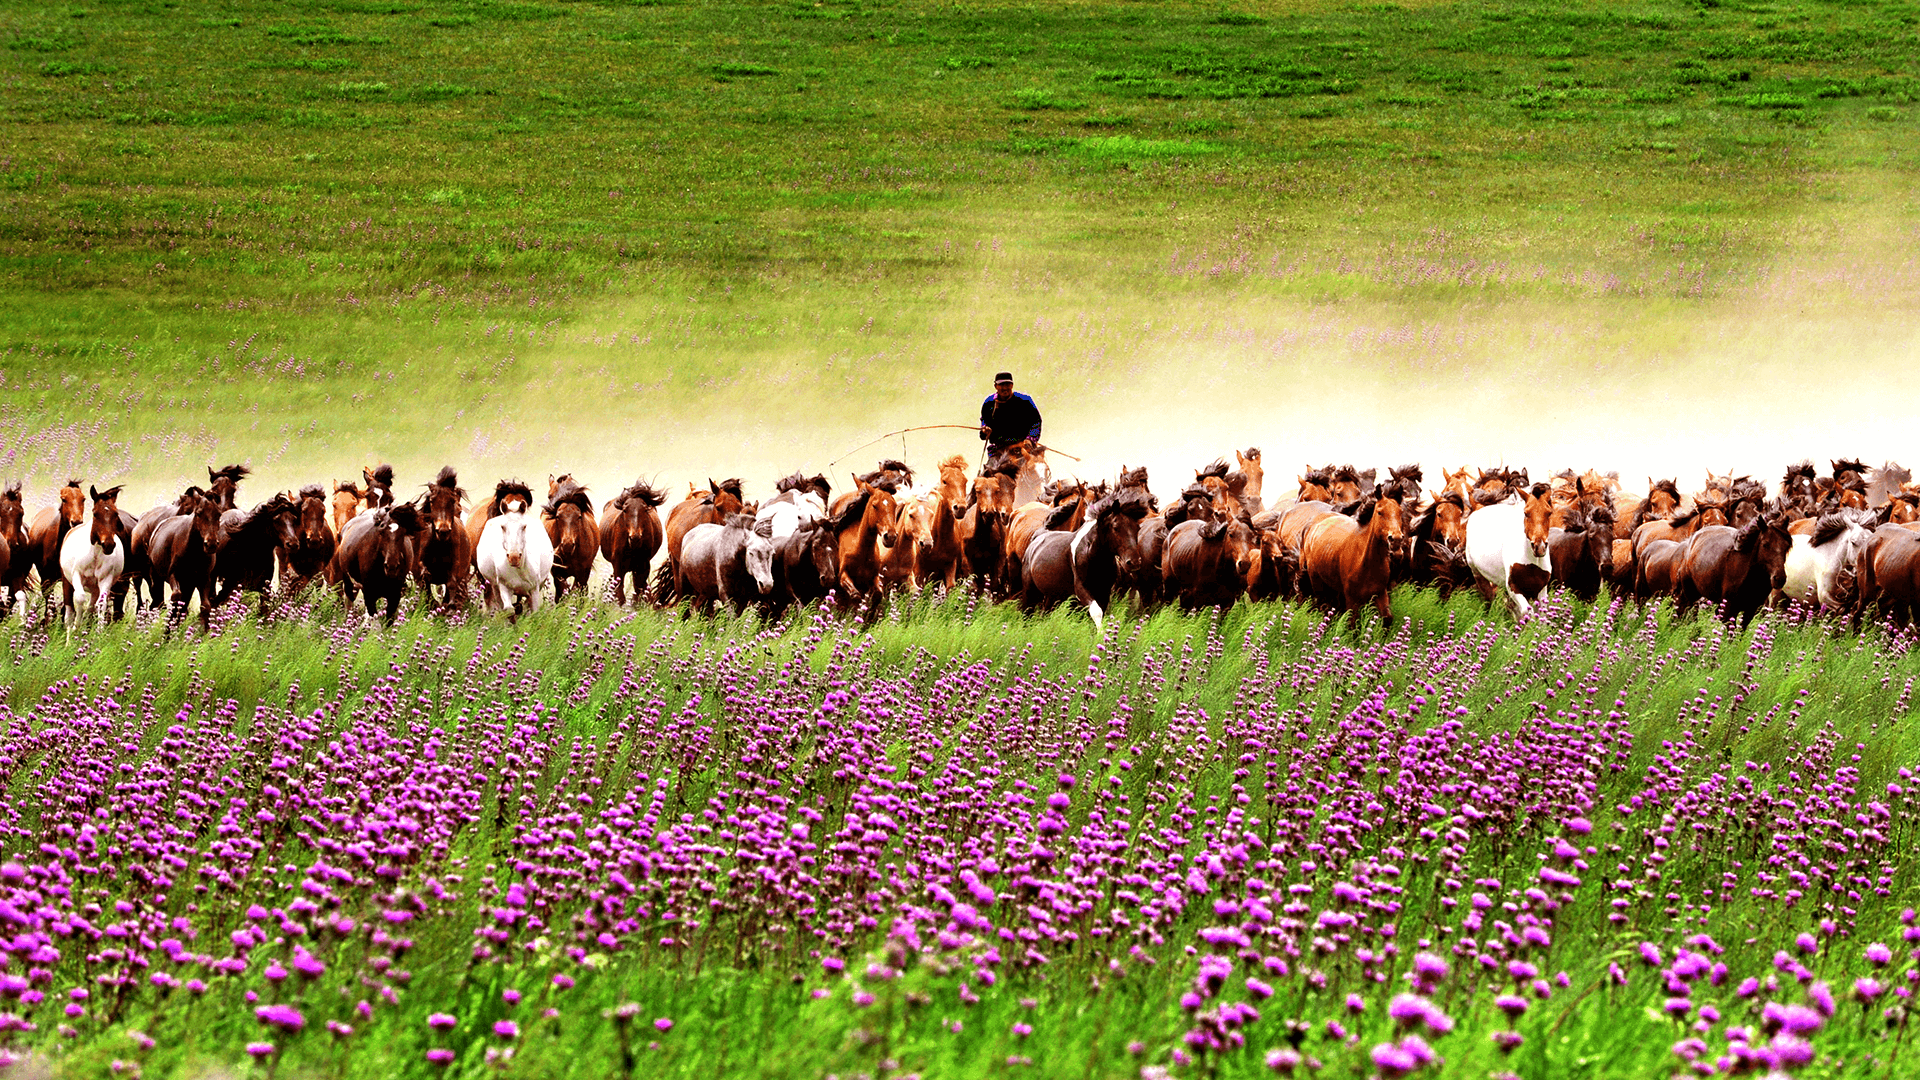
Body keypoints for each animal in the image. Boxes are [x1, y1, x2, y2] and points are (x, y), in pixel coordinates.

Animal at [145, 486, 224, 626]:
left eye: (218, 514)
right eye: (199, 513)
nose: (211, 544)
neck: (193, 552)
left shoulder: (203, 579)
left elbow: (205, 606)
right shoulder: (173, 574)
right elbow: (176, 598)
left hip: (189, 584)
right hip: (157, 577)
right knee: (159, 601)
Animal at [410, 466, 470, 611]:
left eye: (452, 501)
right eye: (432, 501)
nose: (443, 531)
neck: (439, 544)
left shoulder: (455, 565)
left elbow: (451, 583)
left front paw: (449, 606)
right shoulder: (420, 564)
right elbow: (424, 577)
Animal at [599, 478, 668, 607]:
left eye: (645, 509)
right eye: (625, 510)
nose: (635, 537)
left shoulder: (643, 564)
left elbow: (639, 588)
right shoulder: (617, 564)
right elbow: (620, 591)